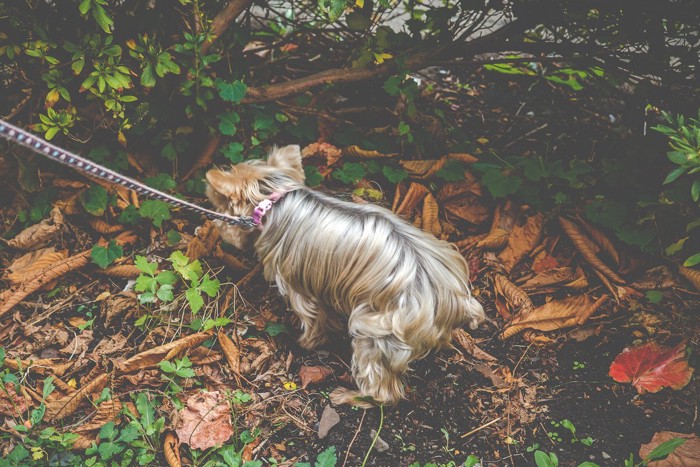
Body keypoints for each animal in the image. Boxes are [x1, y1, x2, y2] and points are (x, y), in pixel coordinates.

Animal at [205, 144, 484, 408]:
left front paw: (307, 342)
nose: (215, 225)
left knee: (383, 388)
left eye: (219, 204)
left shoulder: (298, 285)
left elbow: (313, 319)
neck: (275, 196)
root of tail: (452, 301)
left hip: (378, 328)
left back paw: (351, 397)